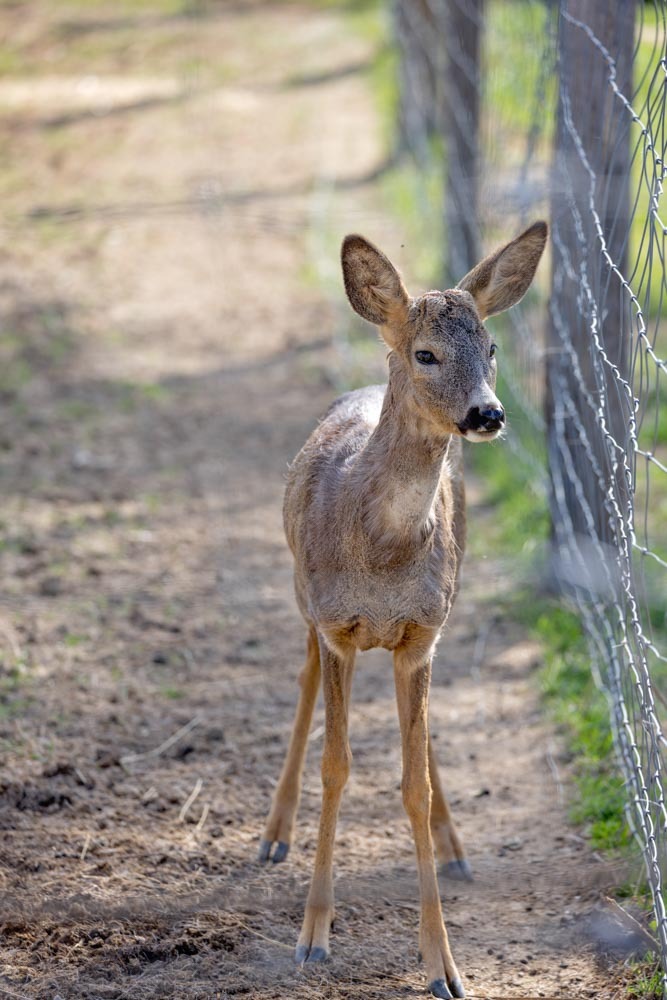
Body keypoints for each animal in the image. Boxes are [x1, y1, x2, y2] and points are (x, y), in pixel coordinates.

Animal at [258, 222, 548, 999]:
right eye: (425, 353)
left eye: (492, 347)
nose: (488, 413)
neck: (383, 554)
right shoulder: (335, 625)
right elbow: (336, 767)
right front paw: (312, 938)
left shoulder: (422, 633)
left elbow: (411, 781)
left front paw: (442, 964)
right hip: (300, 591)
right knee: (301, 680)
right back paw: (273, 835)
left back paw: (454, 845)